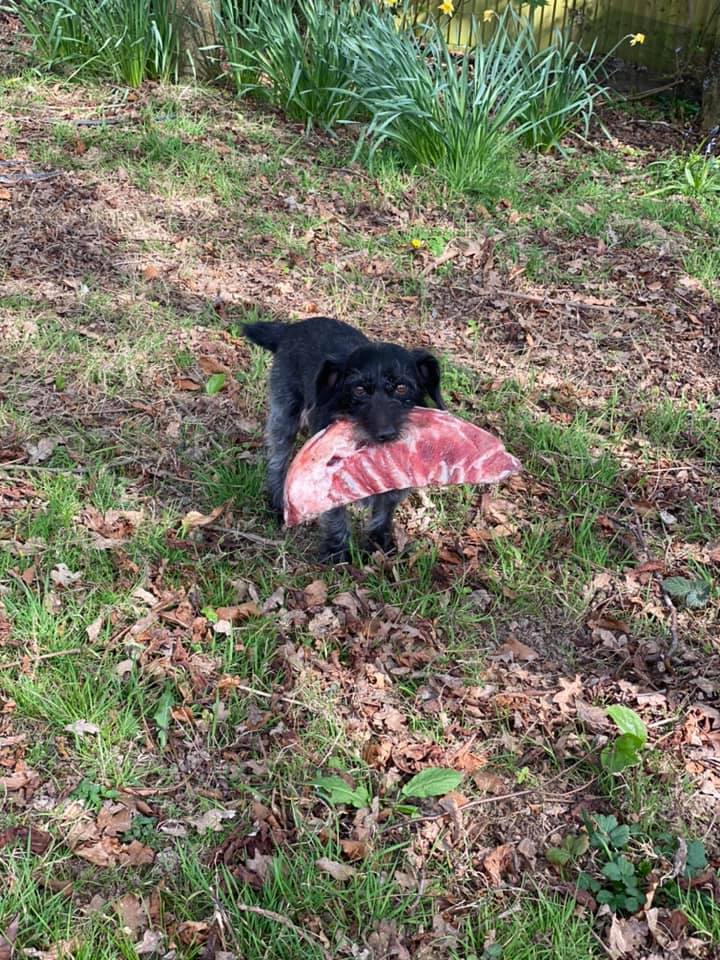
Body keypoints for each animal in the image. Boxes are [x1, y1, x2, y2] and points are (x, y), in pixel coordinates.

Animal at [242, 316, 444, 564]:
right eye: (359, 389)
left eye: (401, 387)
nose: (385, 434)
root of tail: (290, 328)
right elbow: (336, 517)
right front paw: (338, 553)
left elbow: (383, 513)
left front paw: (380, 544)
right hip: (285, 414)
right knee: (277, 460)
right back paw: (278, 503)